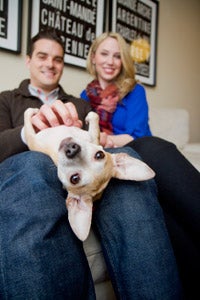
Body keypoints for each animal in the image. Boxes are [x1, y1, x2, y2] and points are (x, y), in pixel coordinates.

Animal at [24, 108, 155, 241]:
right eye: (99, 155)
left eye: (74, 178)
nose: (72, 150)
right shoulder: (93, 138)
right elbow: (95, 120)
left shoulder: (31, 139)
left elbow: (26, 121)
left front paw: (31, 111)